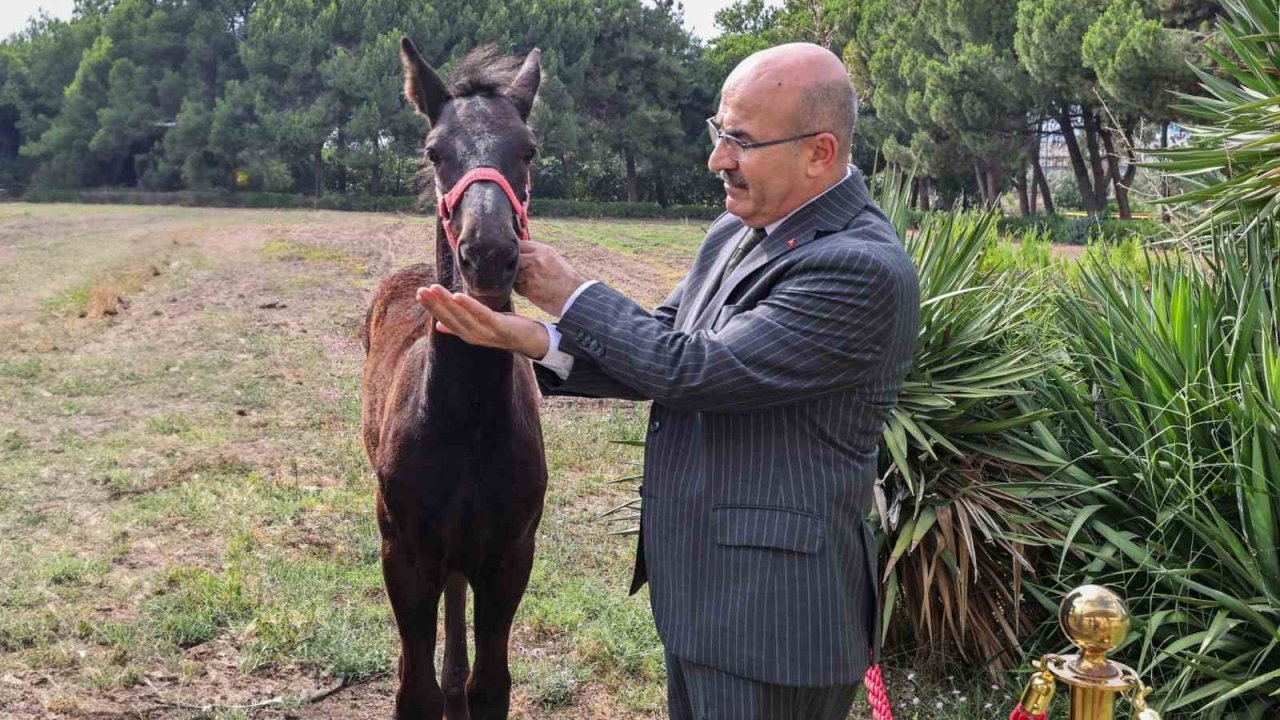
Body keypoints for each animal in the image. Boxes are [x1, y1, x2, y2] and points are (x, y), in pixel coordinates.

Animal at [358, 40, 547, 717]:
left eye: (528, 149)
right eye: (434, 150)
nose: (487, 256)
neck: (463, 421)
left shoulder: (510, 555)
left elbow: (491, 686)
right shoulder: (404, 554)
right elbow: (413, 691)